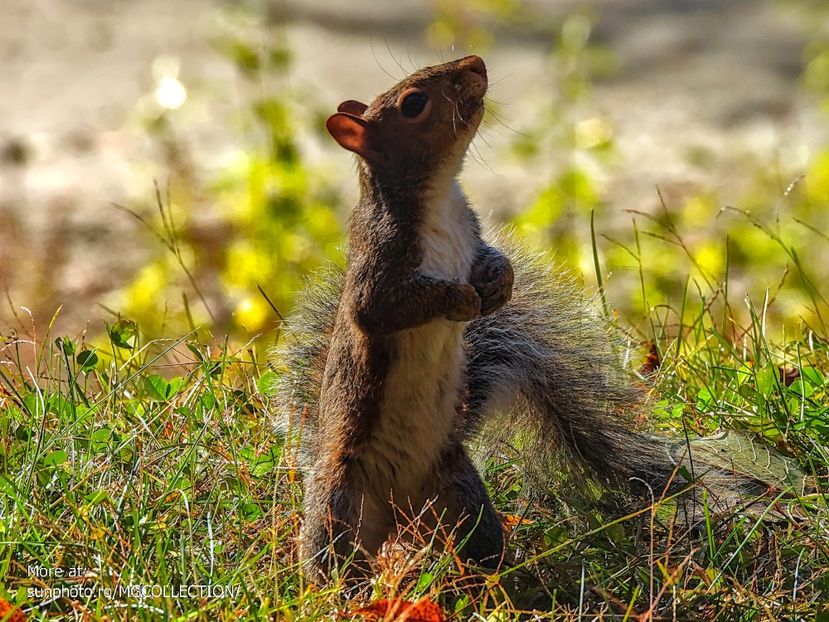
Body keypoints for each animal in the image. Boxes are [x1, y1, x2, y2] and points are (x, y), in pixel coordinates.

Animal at [274, 56, 804, 584]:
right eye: (414, 103)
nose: (476, 63)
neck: (439, 198)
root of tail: (399, 518)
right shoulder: (379, 265)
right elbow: (382, 307)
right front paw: (460, 299)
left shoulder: (471, 237)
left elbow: (492, 261)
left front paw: (498, 286)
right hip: (341, 505)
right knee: (333, 560)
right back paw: (338, 589)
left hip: (460, 497)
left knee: (477, 549)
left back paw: (493, 583)